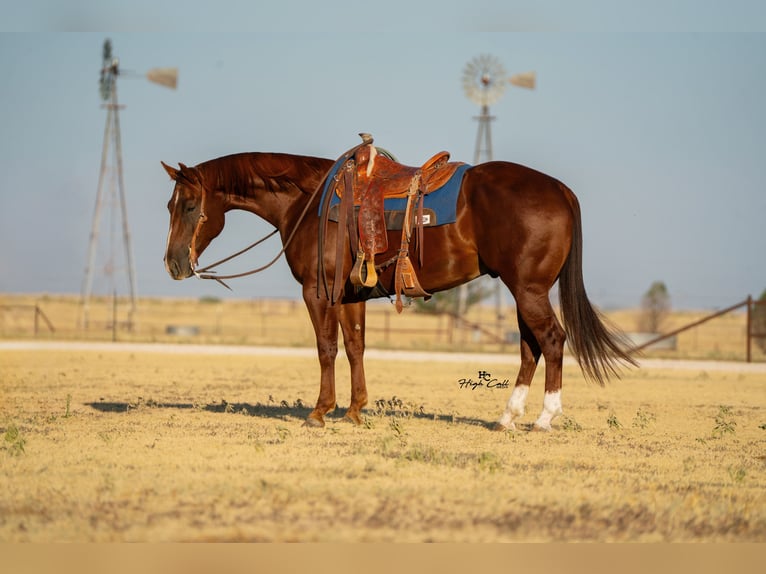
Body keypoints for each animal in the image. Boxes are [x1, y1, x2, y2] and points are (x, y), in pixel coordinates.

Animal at [161, 143, 636, 431]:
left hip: (530, 290)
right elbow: (355, 347)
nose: (173, 263)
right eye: (170, 204)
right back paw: (507, 417)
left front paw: (319, 411)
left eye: (189, 205)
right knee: (529, 347)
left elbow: (326, 349)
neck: (309, 202)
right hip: (524, 291)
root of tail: (558, 189)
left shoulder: (318, 292)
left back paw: (543, 418)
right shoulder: (350, 295)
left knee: (551, 340)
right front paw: (354, 410)